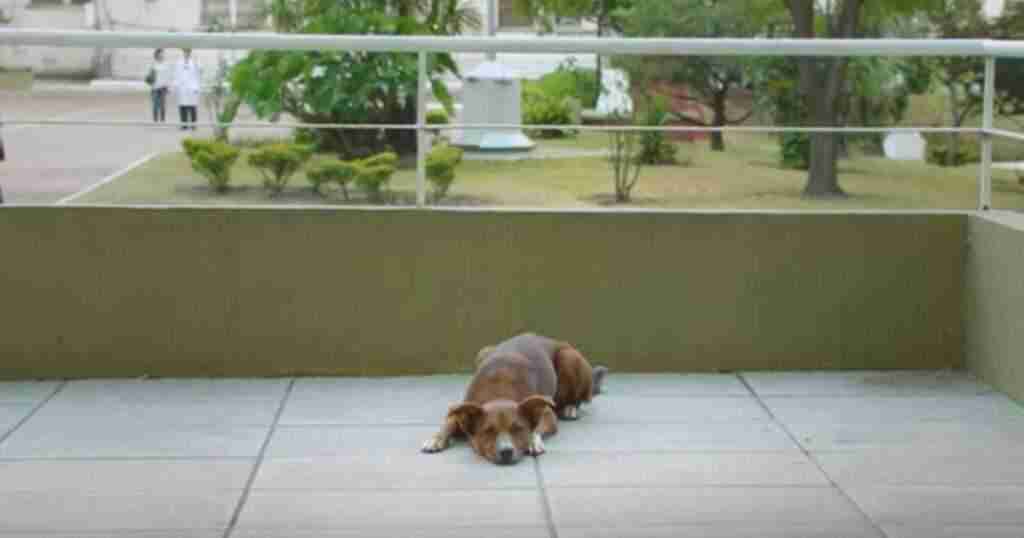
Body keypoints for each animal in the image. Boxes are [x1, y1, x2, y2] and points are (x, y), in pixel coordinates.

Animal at [422, 333, 607, 465]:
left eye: (518, 429)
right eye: (488, 431)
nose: (506, 451)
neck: (499, 393)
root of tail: (552, 339)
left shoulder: (547, 413)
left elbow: (537, 426)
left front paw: (532, 440)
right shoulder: (461, 411)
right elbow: (448, 423)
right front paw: (436, 438)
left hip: (570, 357)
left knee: (578, 398)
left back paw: (570, 408)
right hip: (483, 351)